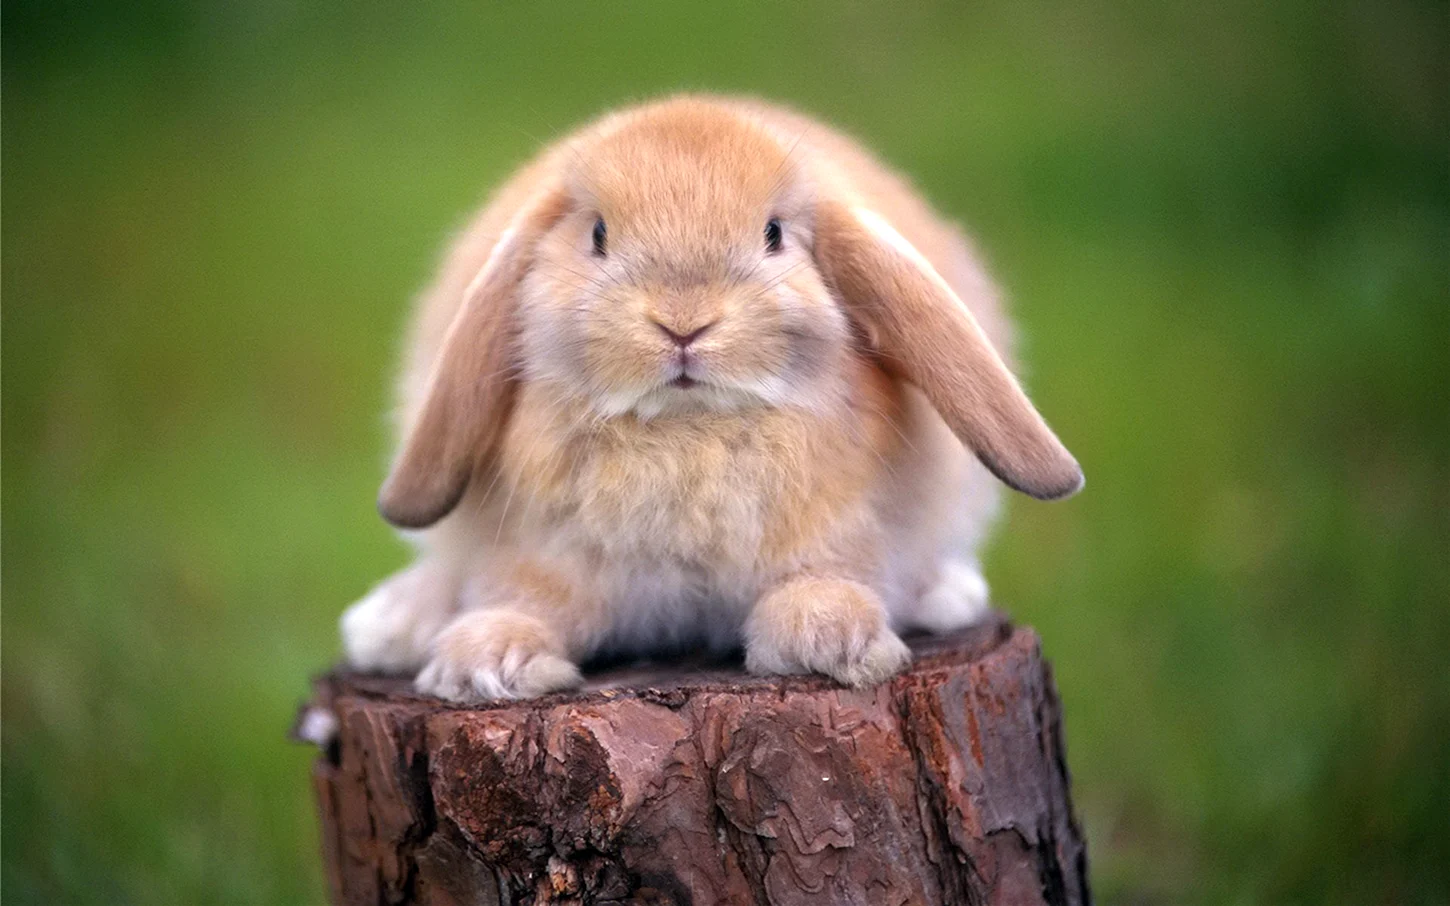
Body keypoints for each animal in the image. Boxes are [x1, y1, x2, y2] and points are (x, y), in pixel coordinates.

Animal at [340, 95, 1082, 701]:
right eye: (598, 235)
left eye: (774, 234)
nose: (683, 321)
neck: (688, 430)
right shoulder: (546, 555)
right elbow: (524, 599)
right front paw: (484, 663)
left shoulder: (840, 533)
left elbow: (821, 580)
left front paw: (833, 640)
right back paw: (393, 625)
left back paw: (945, 594)